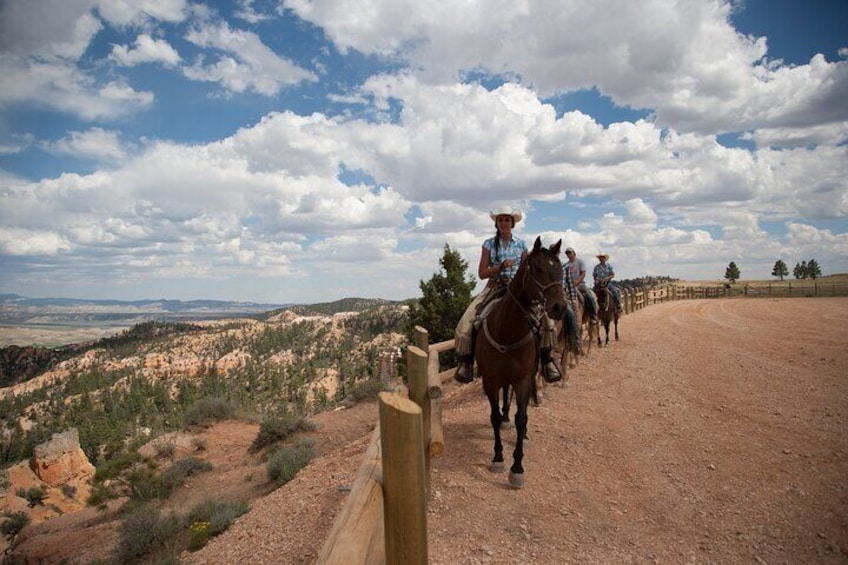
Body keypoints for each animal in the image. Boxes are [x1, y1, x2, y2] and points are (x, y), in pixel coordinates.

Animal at [474, 236, 568, 486]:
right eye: (538, 268)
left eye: (560, 270)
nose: (559, 307)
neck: (507, 330)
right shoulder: (490, 381)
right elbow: (495, 417)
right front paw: (498, 458)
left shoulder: (523, 379)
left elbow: (522, 418)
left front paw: (517, 467)